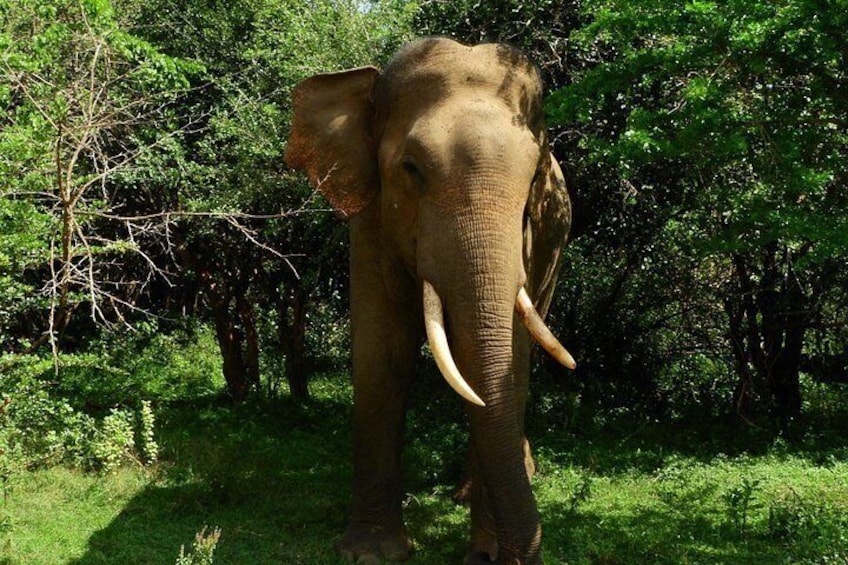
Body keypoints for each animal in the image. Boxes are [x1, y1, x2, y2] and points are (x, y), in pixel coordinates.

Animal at [285, 38, 575, 565]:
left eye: (532, 180)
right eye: (411, 169)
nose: (504, 559)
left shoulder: (531, 238)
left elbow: (513, 364)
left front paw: (483, 555)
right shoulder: (371, 216)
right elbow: (383, 354)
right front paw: (371, 554)